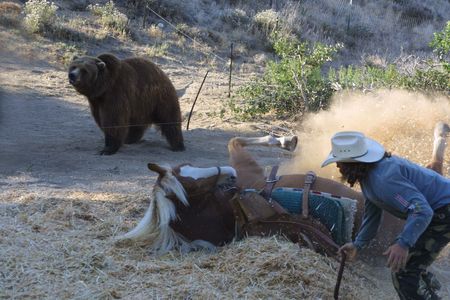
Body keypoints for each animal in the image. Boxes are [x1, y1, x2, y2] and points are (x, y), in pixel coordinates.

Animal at [117, 123, 450, 256]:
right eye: (192, 186)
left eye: (185, 170)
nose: (229, 175)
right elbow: (235, 142)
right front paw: (286, 139)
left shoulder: (248, 168)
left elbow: (235, 141)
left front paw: (286, 140)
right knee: (433, 170)